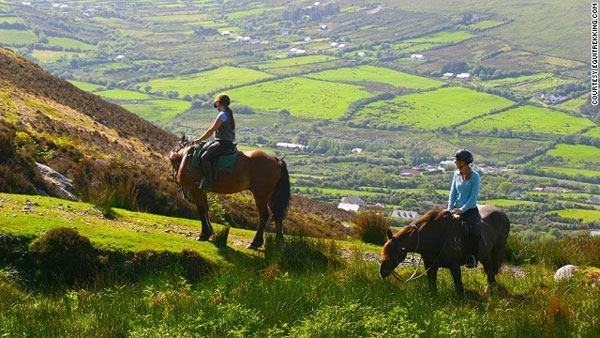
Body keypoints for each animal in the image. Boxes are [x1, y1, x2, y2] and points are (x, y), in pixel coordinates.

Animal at [378, 205, 508, 298]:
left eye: (394, 254)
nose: (382, 272)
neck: (436, 236)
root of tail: (503, 214)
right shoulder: (430, 266)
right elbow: (432, 286)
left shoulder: (455, 266)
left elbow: (459, 288)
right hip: (484, 256)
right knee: (490, 270)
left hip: (496, 252)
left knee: (492, 271)